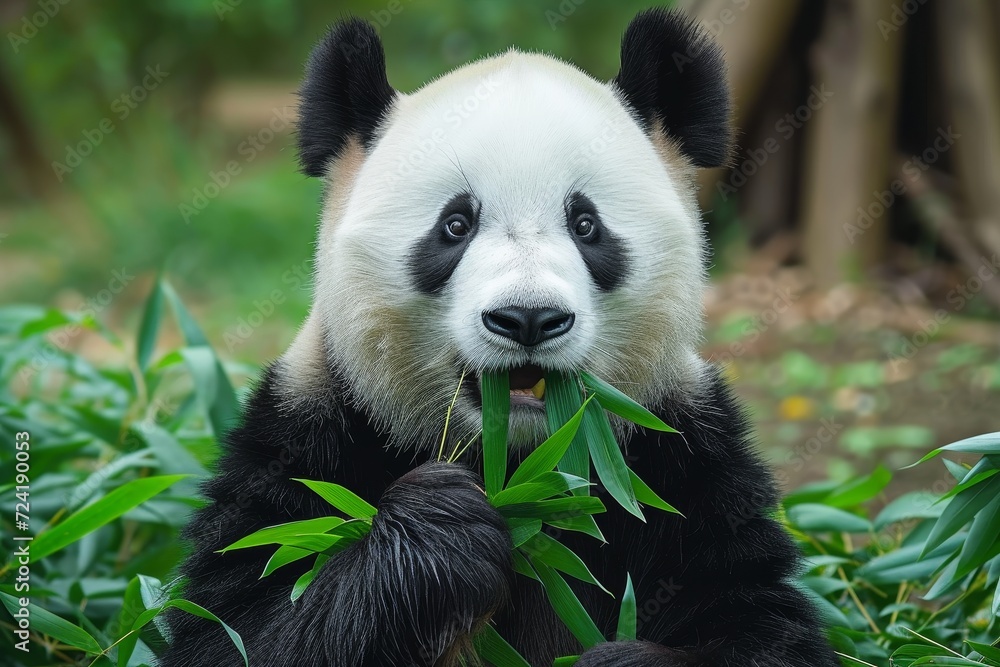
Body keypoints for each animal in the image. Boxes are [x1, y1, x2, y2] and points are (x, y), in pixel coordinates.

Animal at [163, 8, 839, 667]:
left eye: (586, 224)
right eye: (455, 225)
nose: (528, 318)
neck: (519, 464)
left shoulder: (681, 452)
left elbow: (761, 623)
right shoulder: (307, 433)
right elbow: (237, 622)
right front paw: (443, 529)